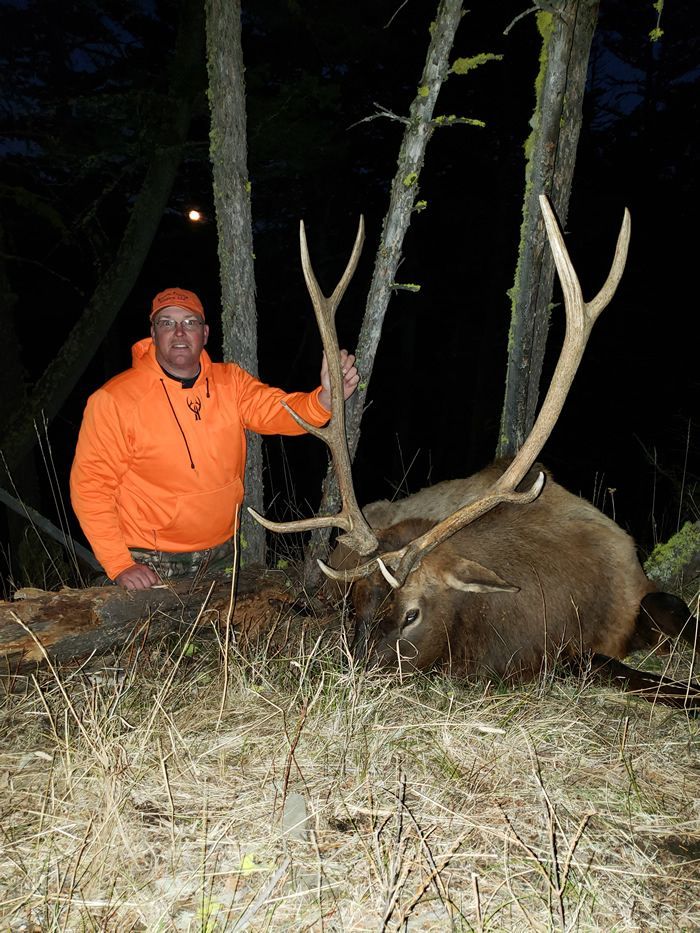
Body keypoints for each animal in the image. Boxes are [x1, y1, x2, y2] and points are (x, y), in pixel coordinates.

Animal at [250, 196, 699, 712]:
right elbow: (618, 670)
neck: (572, 600)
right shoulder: (560, 654)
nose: (353, 680)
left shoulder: (638, 588)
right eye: (357, 608)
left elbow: (674, 609)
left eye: (412, 615)